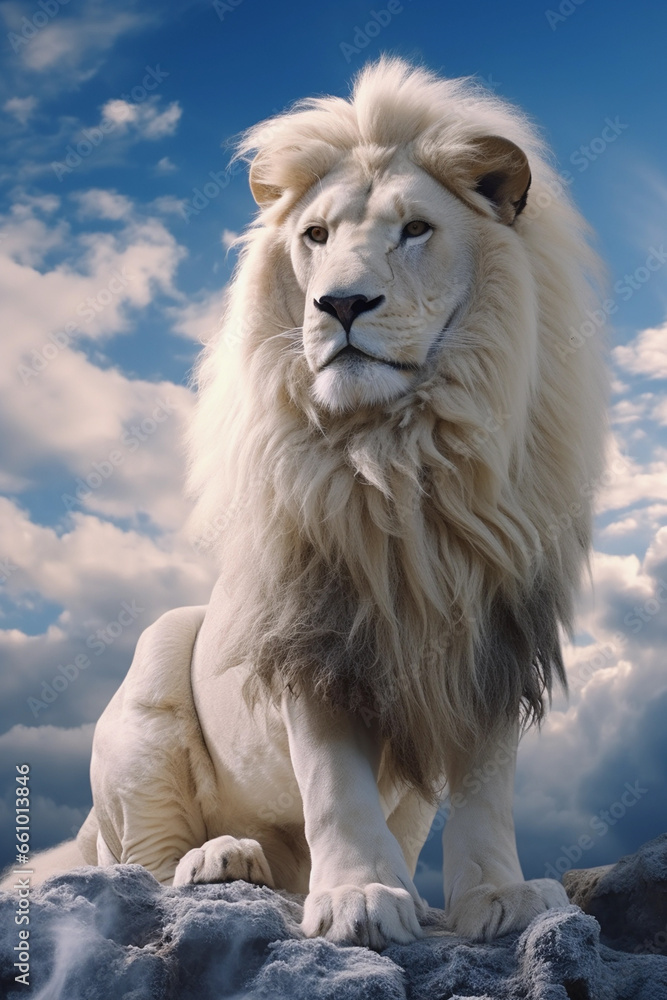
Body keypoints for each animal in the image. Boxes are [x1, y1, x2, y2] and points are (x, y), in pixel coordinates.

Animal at [11, 59, 607, 948]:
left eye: (415, 230)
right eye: (316, 237)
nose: (341, 305)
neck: (401, 454)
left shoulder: (493, 635)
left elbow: (485, 789)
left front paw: (496, 897)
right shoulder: (312, 629)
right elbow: (335, 784)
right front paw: (360, 898)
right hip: (151, 684)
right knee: (139, 862)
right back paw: (222, 859)